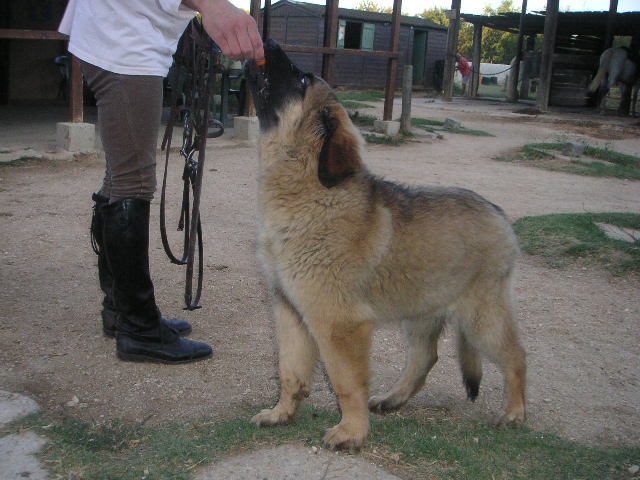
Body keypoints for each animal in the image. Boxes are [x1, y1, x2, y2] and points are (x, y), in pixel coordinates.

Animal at [244, 38, 524, 450]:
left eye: (301, 79)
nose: (269, 42)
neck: (310, 191)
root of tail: (497, 210)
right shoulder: (290, 310)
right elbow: (290, 370)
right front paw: (282, 414)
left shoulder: (339, 323)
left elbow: (347, 382)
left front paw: (352, 431)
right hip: (425, 305)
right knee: (425, 357)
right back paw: (394, 398)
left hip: (480, 316)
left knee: (515, 356)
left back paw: (515, 412)